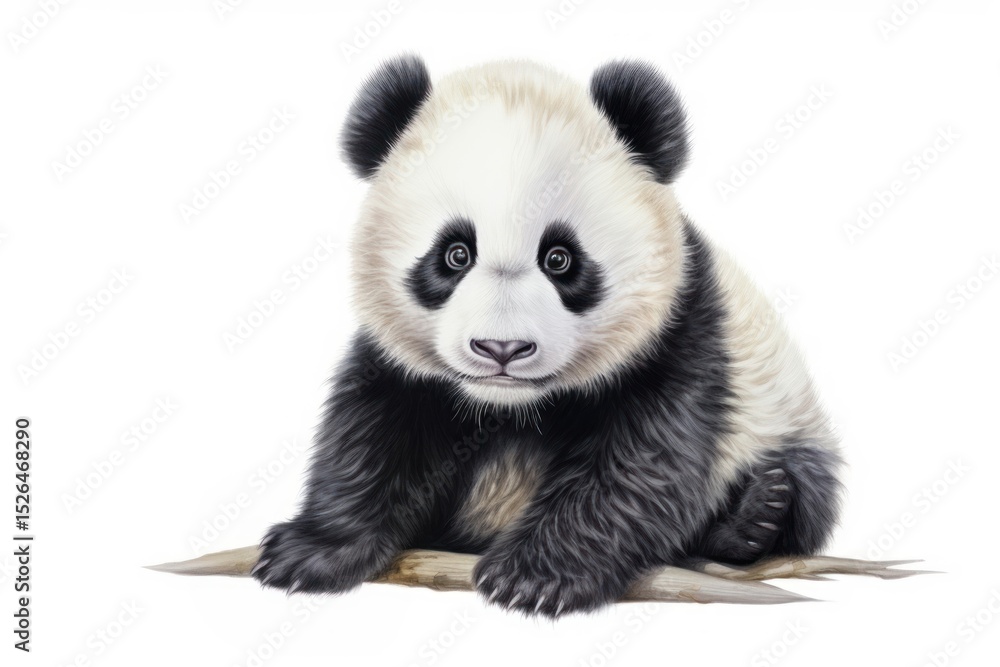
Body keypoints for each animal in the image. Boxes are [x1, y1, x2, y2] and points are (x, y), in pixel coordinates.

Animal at [252, 55, 843, 618]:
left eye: (560, 258)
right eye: (455, 254)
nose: (502, 349)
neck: (512, 407)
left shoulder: (683, 332)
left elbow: (639, 463)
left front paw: (534, 578)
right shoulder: (400, 365)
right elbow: (373, 434)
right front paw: (310, 550)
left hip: (782, 420)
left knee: (806, 491)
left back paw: (757, 515)